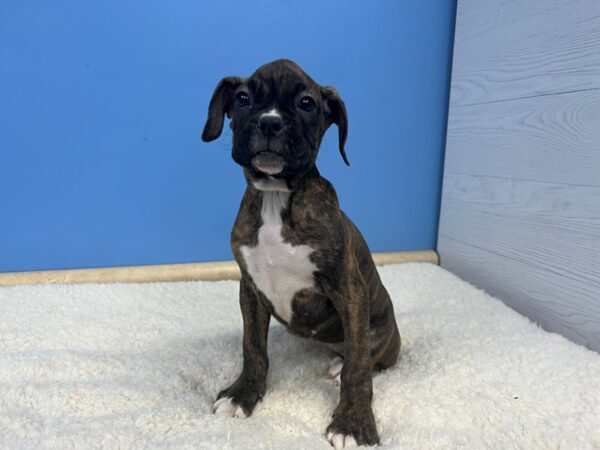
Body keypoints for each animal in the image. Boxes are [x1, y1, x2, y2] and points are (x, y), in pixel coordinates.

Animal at [200, 59, 398, 446]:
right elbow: (252, 347)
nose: (270, 122)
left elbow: (358, 370)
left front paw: (353, 423)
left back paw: (342, 365)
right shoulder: (250, 289)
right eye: (243, 98)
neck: (277, 197)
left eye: (307, 103)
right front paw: (243, 394)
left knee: (364, 356)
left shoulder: (350, 290)